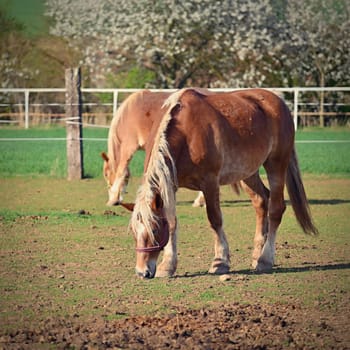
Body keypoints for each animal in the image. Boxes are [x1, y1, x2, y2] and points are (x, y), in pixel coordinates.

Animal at [121, 88, 318, 278]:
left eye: (154, 230)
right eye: (134, 233)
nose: (142, 272)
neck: (186, 133)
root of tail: (279, 102)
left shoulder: (210, 182)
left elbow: (215, 219)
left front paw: (220, 262)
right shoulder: (171, 186)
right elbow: (172, 222)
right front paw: (168, 266)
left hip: (276, 165)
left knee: (276, 209)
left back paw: (265, 259)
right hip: (248, 172)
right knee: (261, 201)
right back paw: (257, 255)